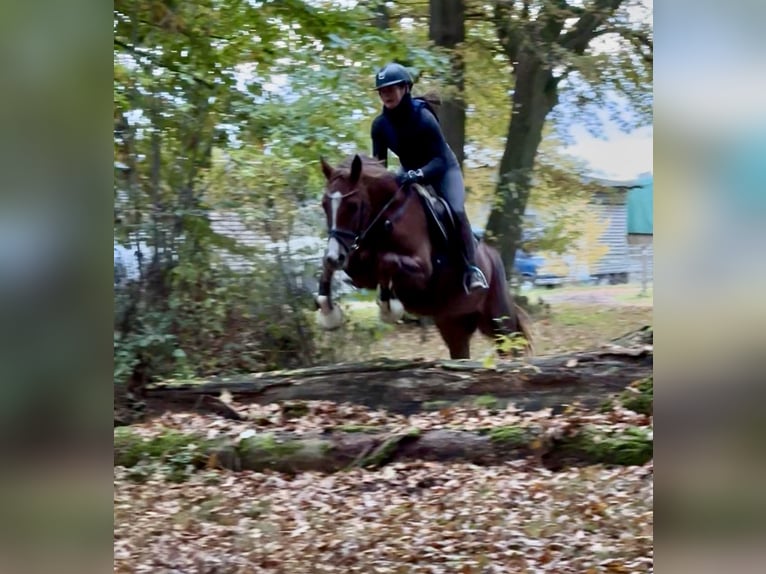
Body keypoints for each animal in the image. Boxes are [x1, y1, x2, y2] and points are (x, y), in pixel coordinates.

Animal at [314, 153, 533, 360]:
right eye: (324, 204)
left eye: (353, 205)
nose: (336, 256)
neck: (387, 218)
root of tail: (494, 256)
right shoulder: (359, 271)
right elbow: (332, 267)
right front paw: (329, 313)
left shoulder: (424, 273)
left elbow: (387, 261)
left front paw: (387, 307)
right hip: (454, 324)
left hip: (500, 321)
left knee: (513, 347)